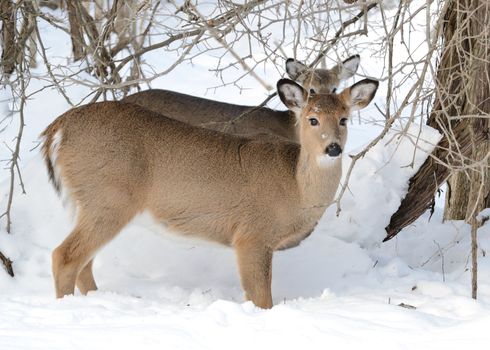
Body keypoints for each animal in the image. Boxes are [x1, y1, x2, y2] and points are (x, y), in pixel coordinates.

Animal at [43, 77, 378, 308]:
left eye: (344, 119)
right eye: (312, 119)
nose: (333, 148)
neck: (295, 188)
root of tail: (57, 129)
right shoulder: (251, 235)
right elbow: (261, 298)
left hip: (93, 203)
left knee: (84, 262)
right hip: (109, 197)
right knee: (65, 256)